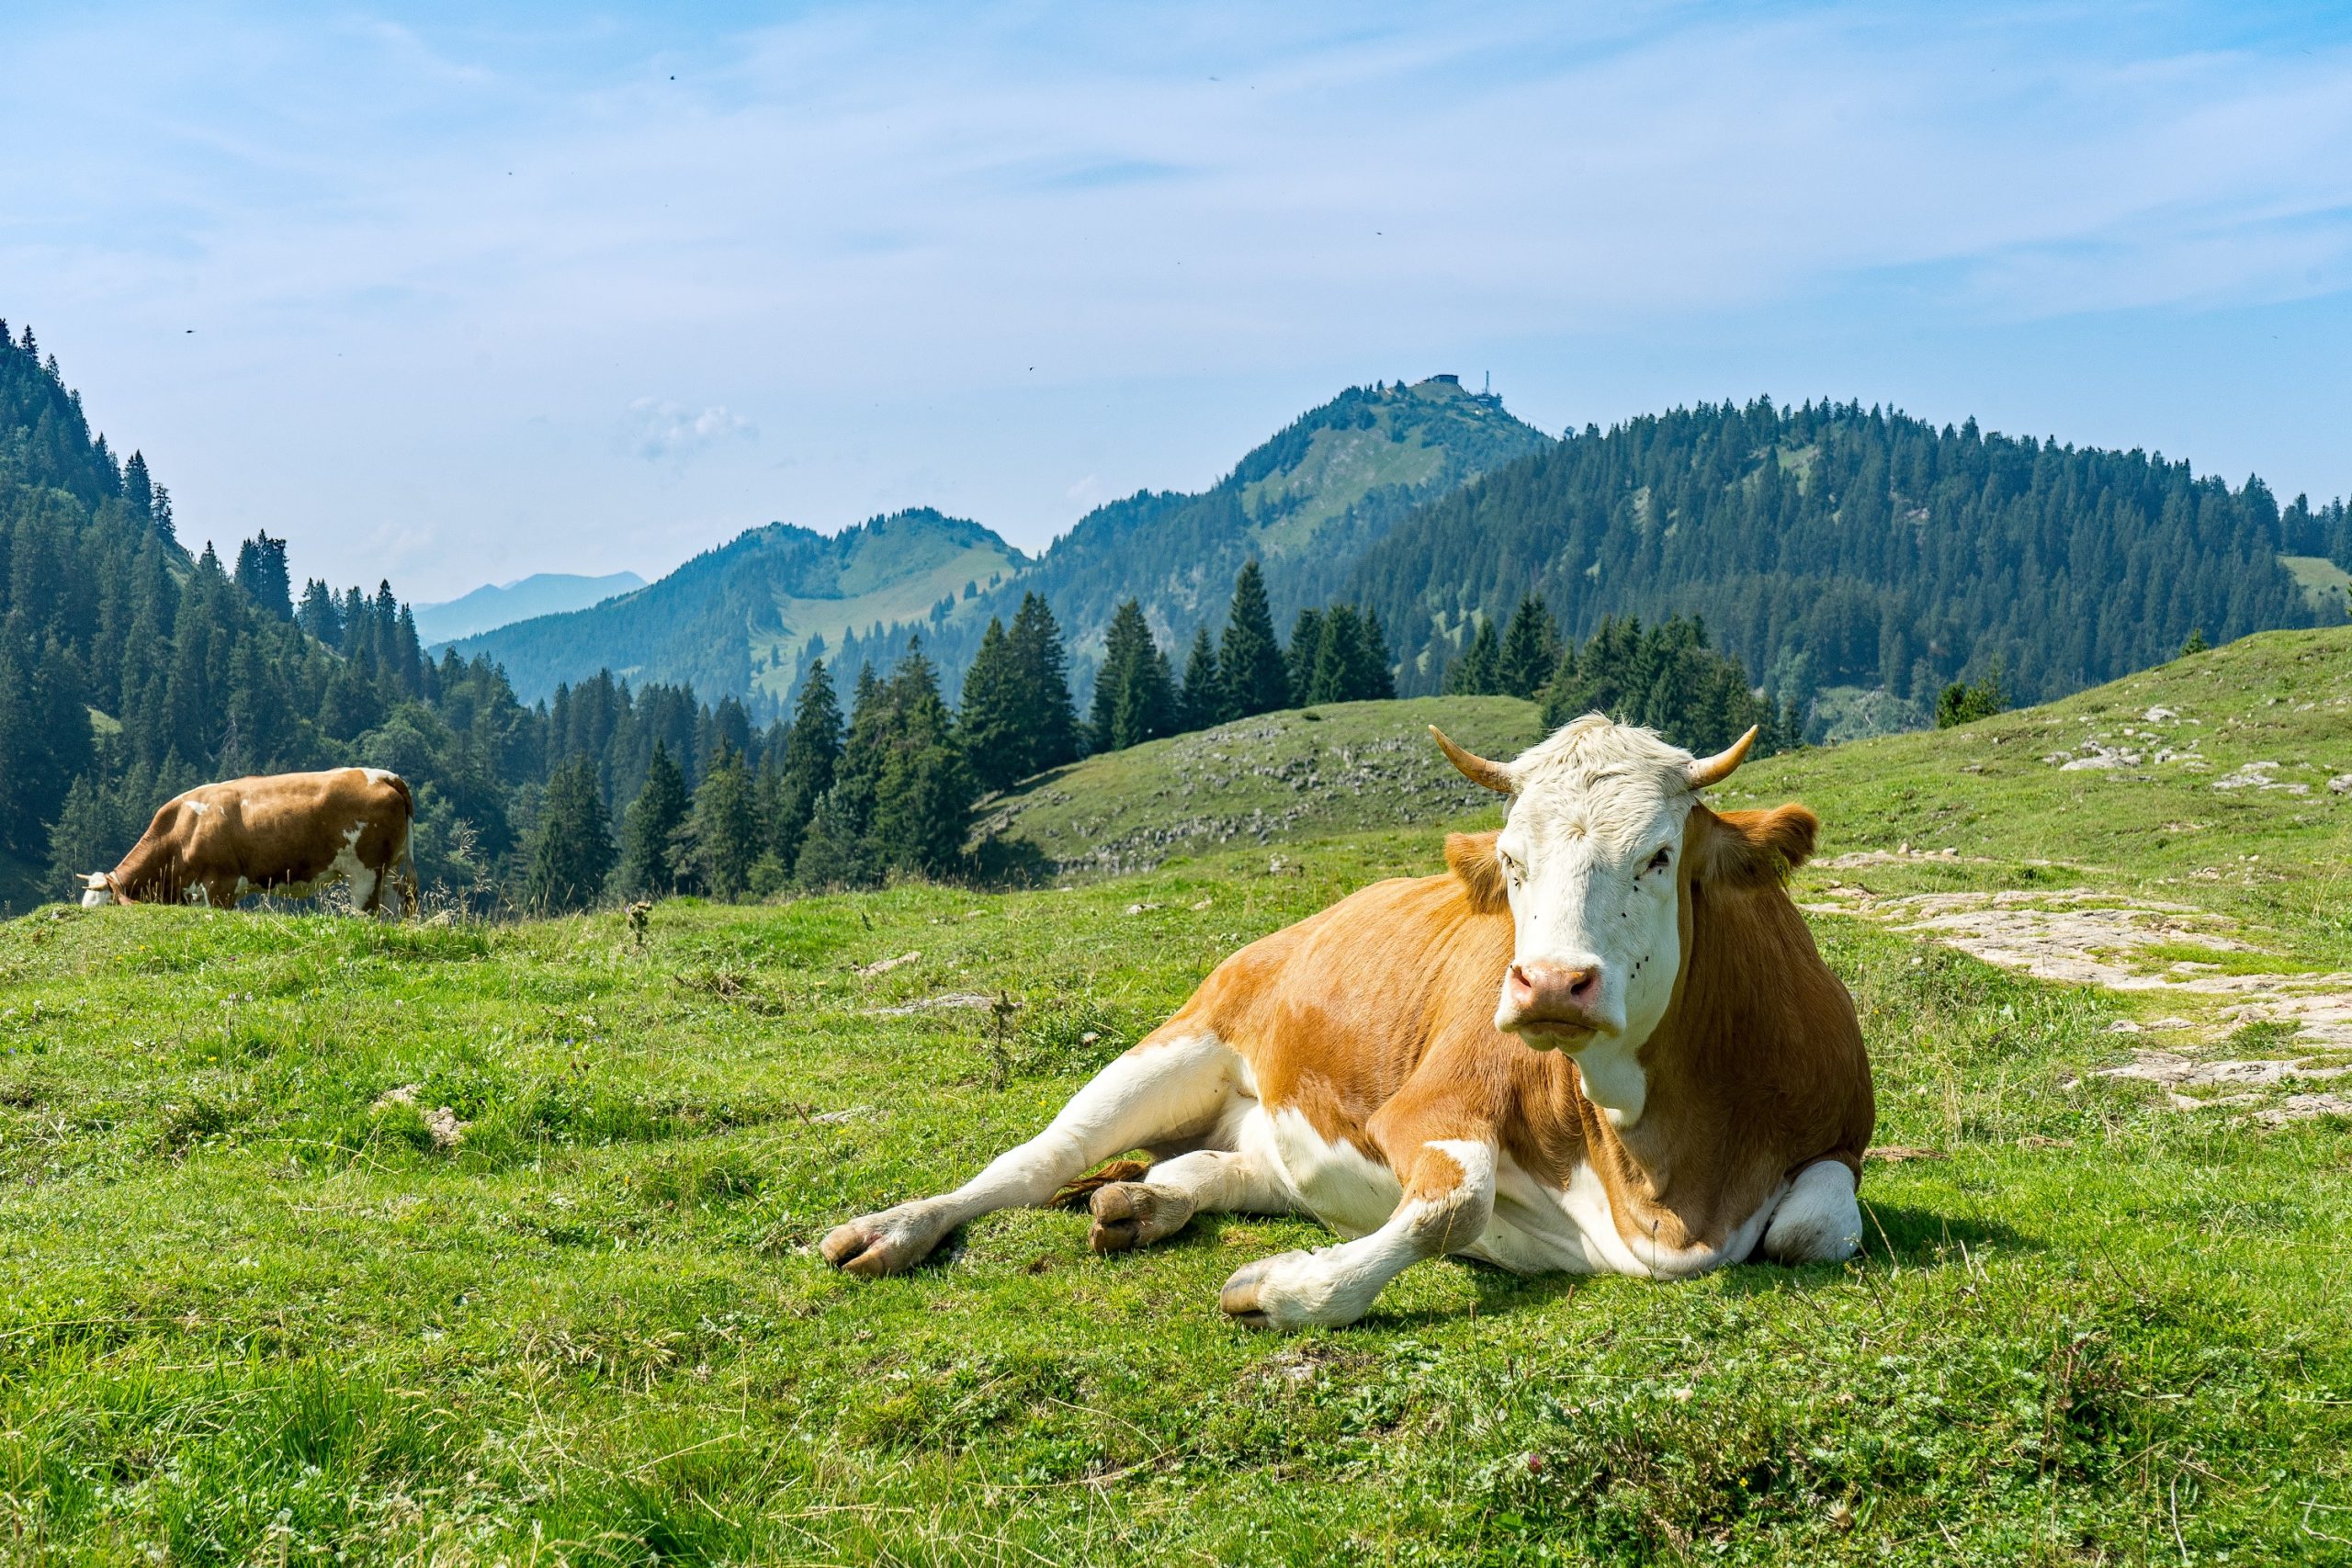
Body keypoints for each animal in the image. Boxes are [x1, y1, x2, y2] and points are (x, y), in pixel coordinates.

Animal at [81, 768, 418, 918]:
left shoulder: (220, 886)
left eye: (105, 906)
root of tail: (384, 775)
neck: (180, 832)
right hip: (388, 870)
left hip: (365, 872)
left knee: (370, 913)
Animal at [822, 716, 1874, 1329]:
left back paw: (1140, 1204)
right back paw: (894, 1228)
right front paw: (1288, 1290)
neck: (1661, 1180)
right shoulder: (1427, 1106)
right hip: (1180, 1040)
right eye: (1513, 859)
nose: (1548, 984)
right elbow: (1457, 1204)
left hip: (1267, 1135)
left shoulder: (1840, 1140)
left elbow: (1811, 1227)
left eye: (1658, 855)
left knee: (1207, 1169)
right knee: (1033, 1162)